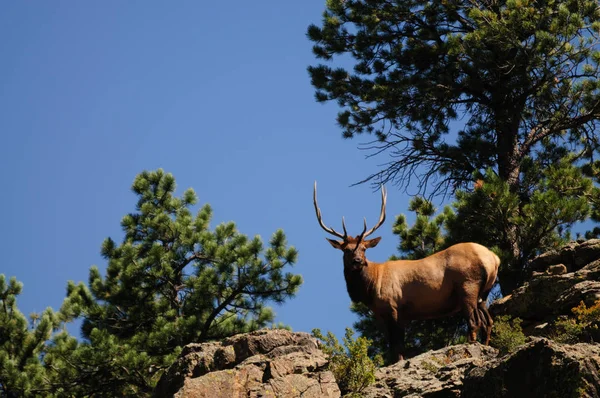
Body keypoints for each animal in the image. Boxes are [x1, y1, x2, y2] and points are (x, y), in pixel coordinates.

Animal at [312, 182, 500, 362]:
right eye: (346, 250)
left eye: (364, 249)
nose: (358, 261)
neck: (370, 288)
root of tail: (493, 258)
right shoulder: (388, 315)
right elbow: (394, 345)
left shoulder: (392, 306)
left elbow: (397, 345)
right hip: (484, 293)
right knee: (488, 321)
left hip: (468, 286)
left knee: (474, 321)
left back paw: (470, 348)